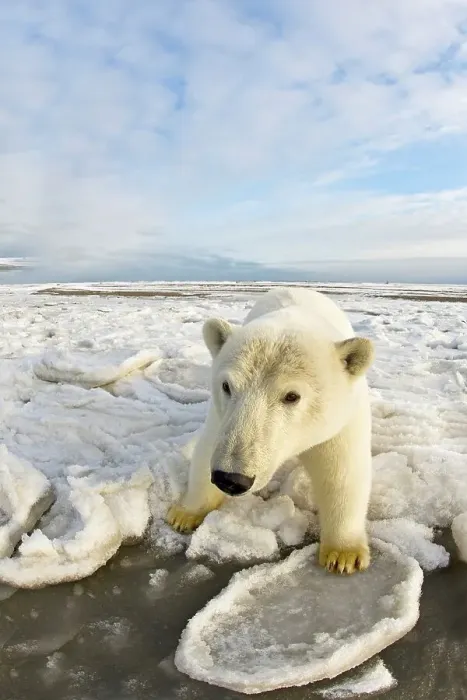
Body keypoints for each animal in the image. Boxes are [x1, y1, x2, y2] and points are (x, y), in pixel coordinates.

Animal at [167, 286, 375, 574]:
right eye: (227, 386)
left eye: (292, 396)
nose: (231, 478)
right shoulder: (222, 416)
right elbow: (207, 449)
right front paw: (184, 514)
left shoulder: (342, 420)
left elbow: (342, 472)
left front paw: (344, 554)